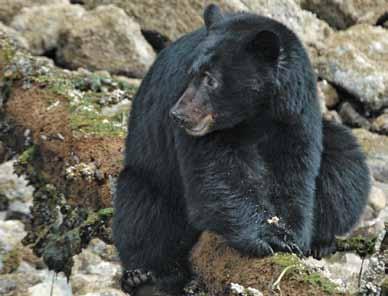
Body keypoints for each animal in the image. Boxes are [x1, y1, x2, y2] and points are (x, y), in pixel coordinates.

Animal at [112, 4, 370, 296]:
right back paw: (146, 276)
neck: (256, 115)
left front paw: (291, 235)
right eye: (191, 74)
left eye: (211, 80)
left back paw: (323, 241)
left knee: (345, 164)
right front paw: (266, 237)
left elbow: (295, 171)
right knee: (143, 210)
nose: (178, 115)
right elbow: (221, 173)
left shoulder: (295, 112)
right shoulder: (213, 132)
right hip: (152, 173)